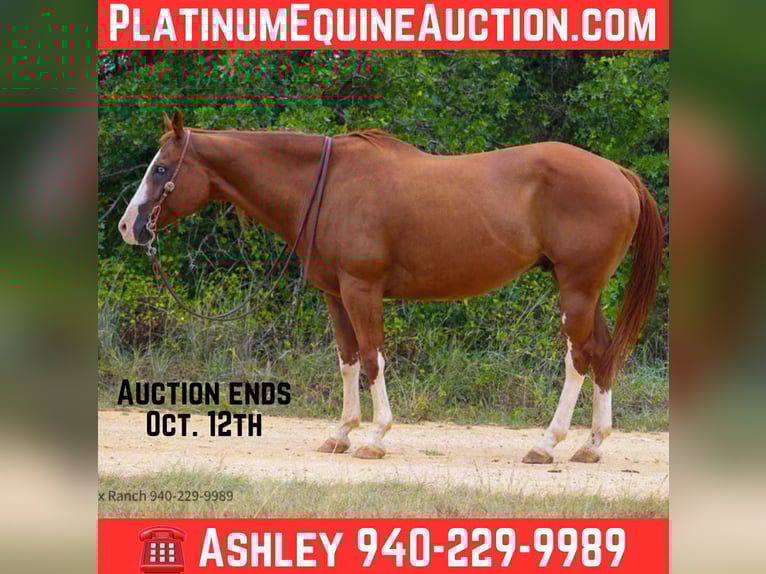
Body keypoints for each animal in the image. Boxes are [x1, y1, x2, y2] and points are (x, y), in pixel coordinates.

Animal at [118, 111, 664, 463]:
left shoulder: (362, 289)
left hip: (576, 288)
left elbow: (373, 356)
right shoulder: (335, 294)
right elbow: (348, 359)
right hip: (586, 291)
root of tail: (618, 172)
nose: (129, 227)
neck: (328, 185)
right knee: (603, 352)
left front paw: (375, 437)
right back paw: (591, 444)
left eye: (161, 168)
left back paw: (547, 443)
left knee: (578, 358)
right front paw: (340, 433)